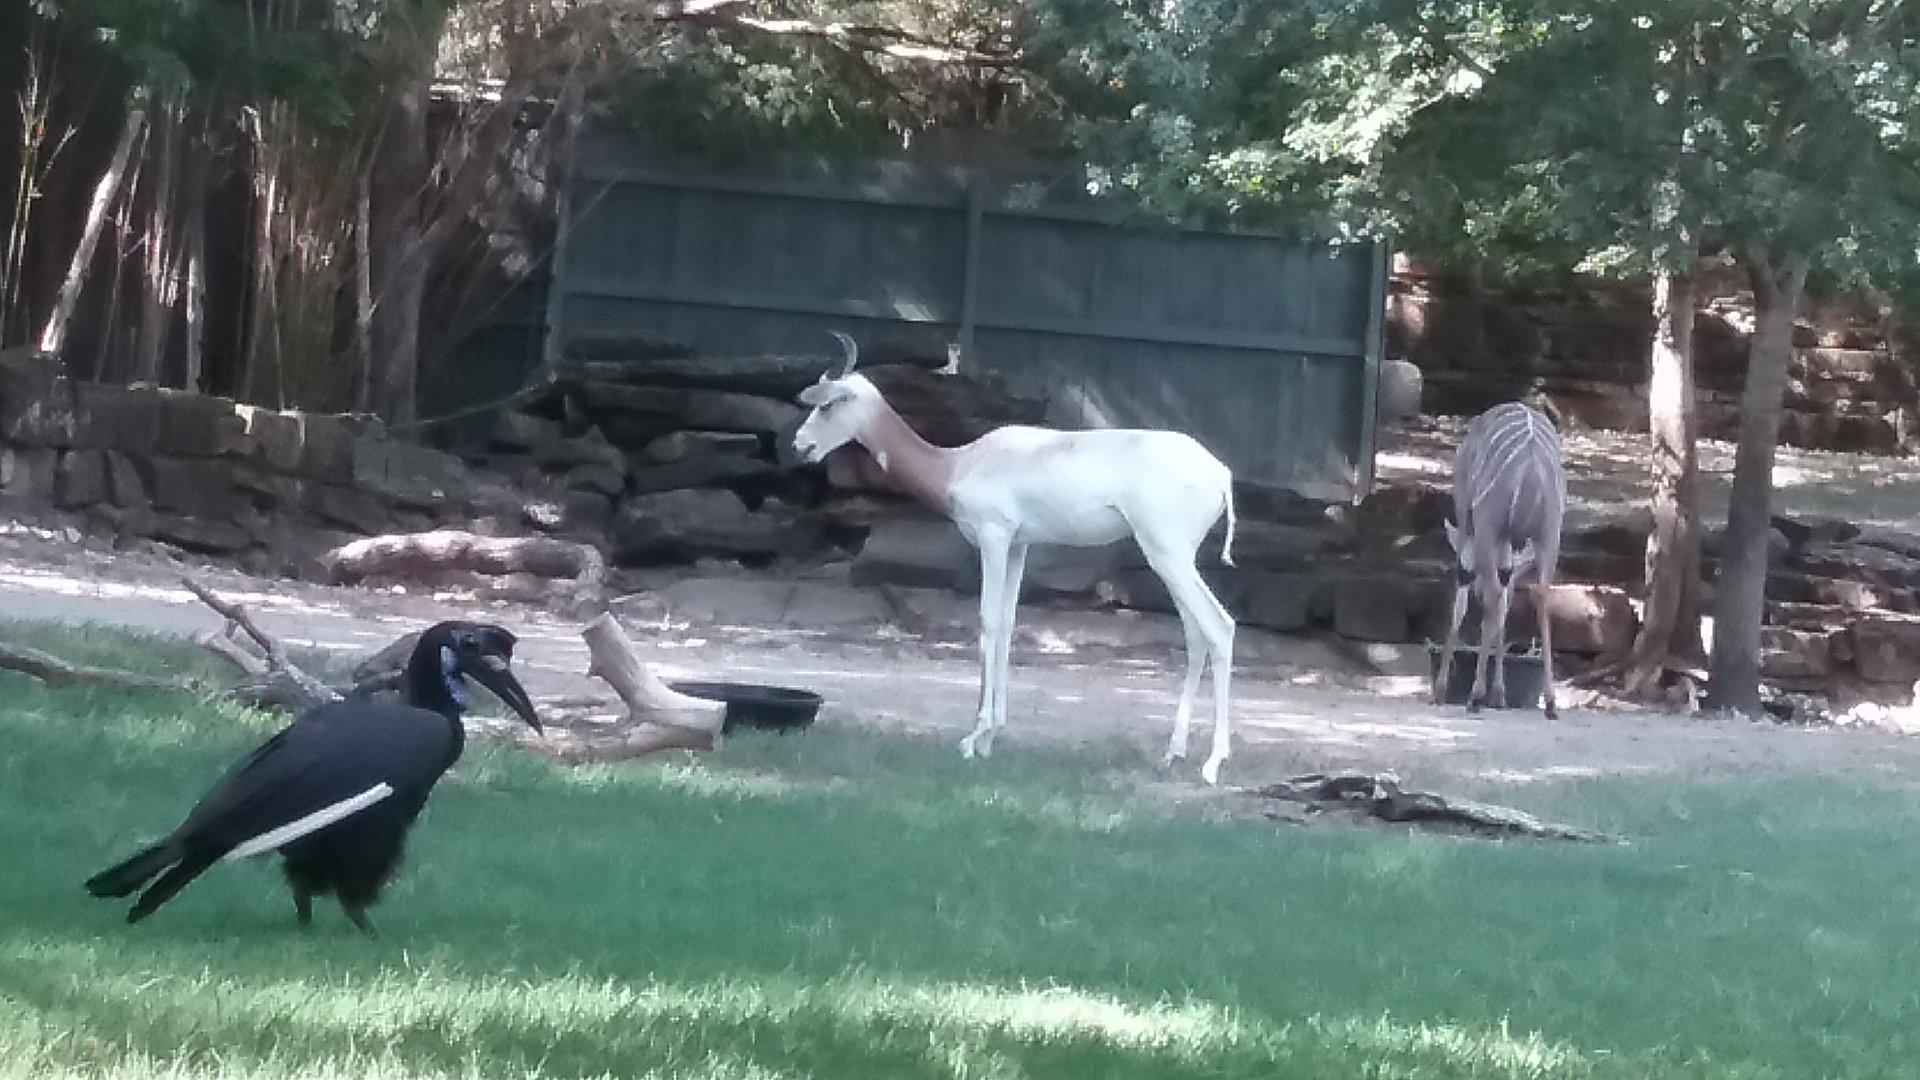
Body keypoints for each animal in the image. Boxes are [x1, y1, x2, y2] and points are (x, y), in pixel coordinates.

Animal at [792, 333, 1241, 784]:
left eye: (827, 404)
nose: (800, 446)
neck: (958, 463)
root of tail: (1220, 473)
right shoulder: (1018, 546)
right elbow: (1008, 624)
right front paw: (992, 736)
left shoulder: (993, 537)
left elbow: (988, 621)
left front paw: (974, 737)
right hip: (1171, 558)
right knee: (1195, 634)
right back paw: (1173, 753)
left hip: (1167, 554)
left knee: (1219, 626)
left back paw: (1213, 763)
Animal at [1435, 401, 1566, 717]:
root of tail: (1531, 467)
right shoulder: (1508, 547)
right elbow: (1505, 603)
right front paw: (1500, 694)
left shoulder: (1468, 521)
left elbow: (1462, 595)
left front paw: (1442, 690)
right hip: (1548, 534)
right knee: (1540, 594)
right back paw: (1550, 702)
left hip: (1486, 524)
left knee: (1494, 592)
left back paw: (1474, 696)